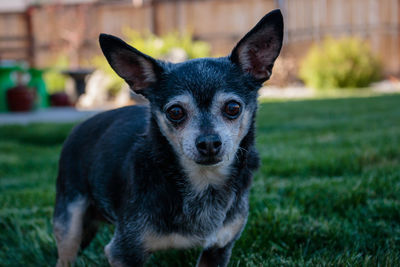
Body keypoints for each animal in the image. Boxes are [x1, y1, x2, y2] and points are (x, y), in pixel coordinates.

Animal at [54, 9, 284, 266]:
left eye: (233, 108)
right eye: (175, 112)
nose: (209, 143)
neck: (204, 184)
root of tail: (79, 125)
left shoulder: (219, 248)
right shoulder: (124, 251)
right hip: (69, 221)